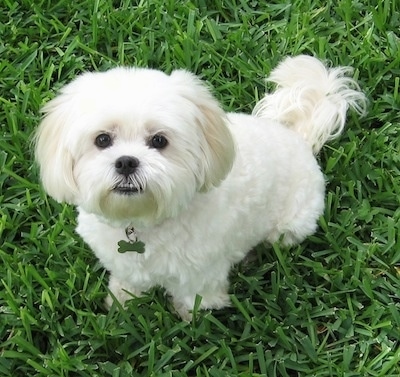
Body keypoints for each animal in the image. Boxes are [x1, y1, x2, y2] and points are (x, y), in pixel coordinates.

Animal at [36, 55, 368, 318]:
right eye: (102, 139)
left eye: (159, 141)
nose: (127, 162)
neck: (144, 220)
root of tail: (297, 137)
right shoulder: (122, 259)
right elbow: (127, 280)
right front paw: (121, 299)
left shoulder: (200, 271)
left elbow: (196, 296)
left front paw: (190, 316)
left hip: (292, 224)